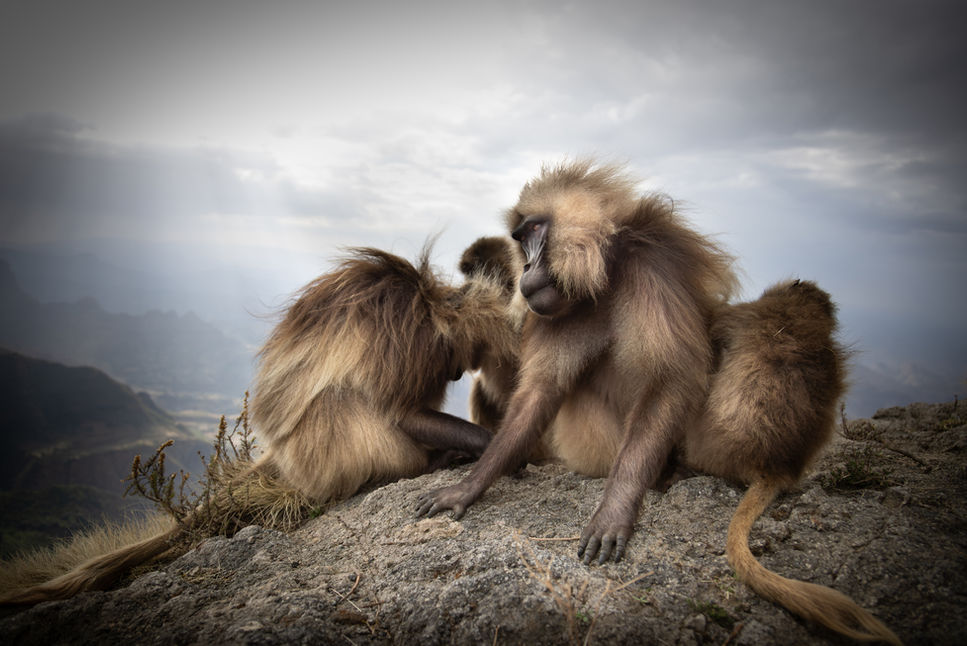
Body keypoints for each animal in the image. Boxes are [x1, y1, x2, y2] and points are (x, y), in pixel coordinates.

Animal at [2, 244, 518, 605]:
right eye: (459, 360)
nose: (457, 374)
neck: (431, 305)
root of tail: (282, 453)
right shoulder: (412, 342)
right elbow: (400, 413)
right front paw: (485, 445)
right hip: (320, 455)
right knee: (340, 402)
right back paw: (425, 462)